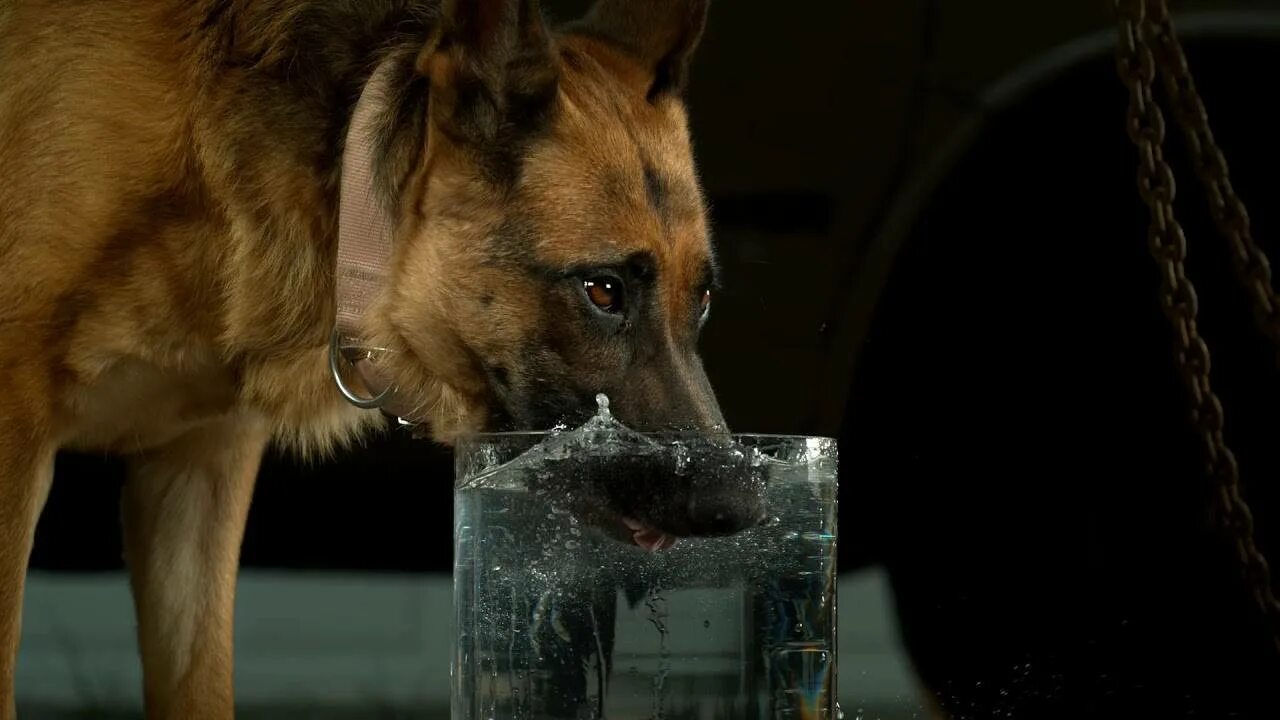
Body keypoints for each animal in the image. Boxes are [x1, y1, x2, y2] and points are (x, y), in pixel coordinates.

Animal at [0, 0, 747, 712]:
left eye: (705, 299)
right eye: (602, 291)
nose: (742, 508)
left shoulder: (200, 470)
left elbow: (200, 686)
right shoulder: (18, 448)